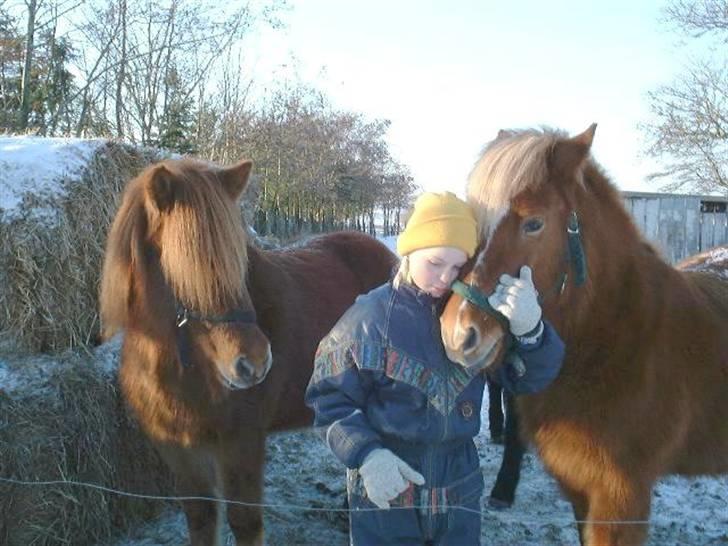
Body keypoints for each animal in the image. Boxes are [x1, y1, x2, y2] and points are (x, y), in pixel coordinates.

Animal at [99, 155, 396, 540]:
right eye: (180, 265)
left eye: (238, 260)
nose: (253, 362)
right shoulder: (180, 449)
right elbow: (201, 518)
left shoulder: (241, 443)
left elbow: (245, 522)